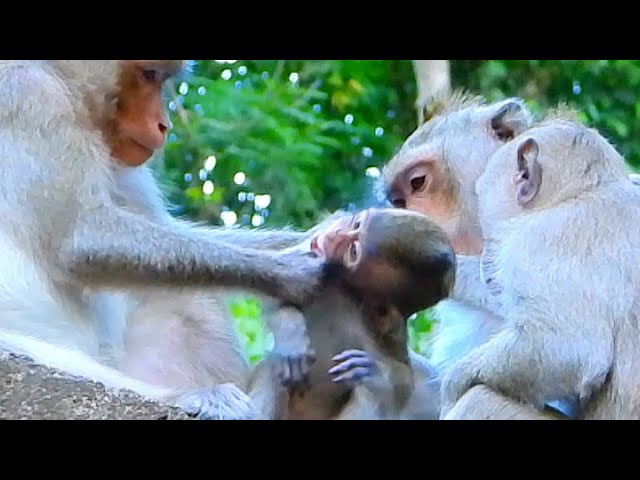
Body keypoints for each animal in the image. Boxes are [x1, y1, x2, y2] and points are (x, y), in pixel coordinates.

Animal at [0, 60, 330, 419]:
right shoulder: (29, 96)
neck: (59, 78)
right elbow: (80, 237)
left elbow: (161, 226)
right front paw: (292, 271)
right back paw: (196, 397)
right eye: (149, 75)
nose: (163, 125)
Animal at [248, 207, 455, 420]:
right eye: (356, 224)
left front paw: (376, 376)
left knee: (368, 393)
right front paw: (291, 334)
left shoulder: (384, 330)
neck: (346, 291)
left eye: (353, 251)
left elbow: (401, 378)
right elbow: (278, 298)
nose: (334, 234)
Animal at [440, 117, 640, 420]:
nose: (485, 256)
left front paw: (455, 380)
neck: (581, 194)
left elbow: (569, 348)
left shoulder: (539, 243)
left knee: (479, 400)